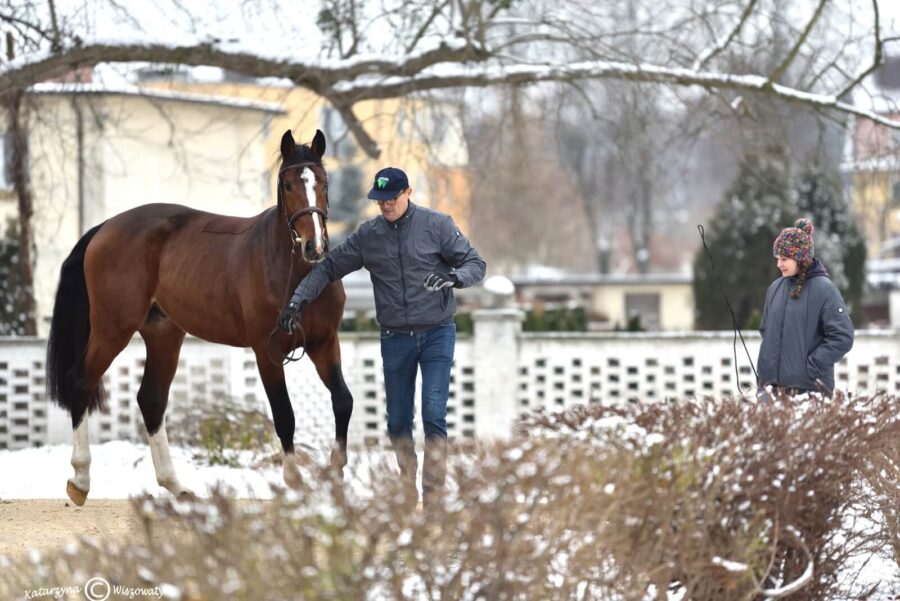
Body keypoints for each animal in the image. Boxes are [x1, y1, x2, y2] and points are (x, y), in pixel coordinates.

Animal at [44, 129, 352, 504]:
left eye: (323, 182)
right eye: (287, 183)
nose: (314, 246)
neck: (298, 275)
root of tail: (105, 228)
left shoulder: (325, 343)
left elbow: (343, 401)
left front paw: (335, 473)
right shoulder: (267, 351)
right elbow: (284, 415)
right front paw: (295, 481)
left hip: (164, 334)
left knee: (151, 399)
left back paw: (176, 486)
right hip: (112, 329)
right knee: (81, 381)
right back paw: (80, 479)